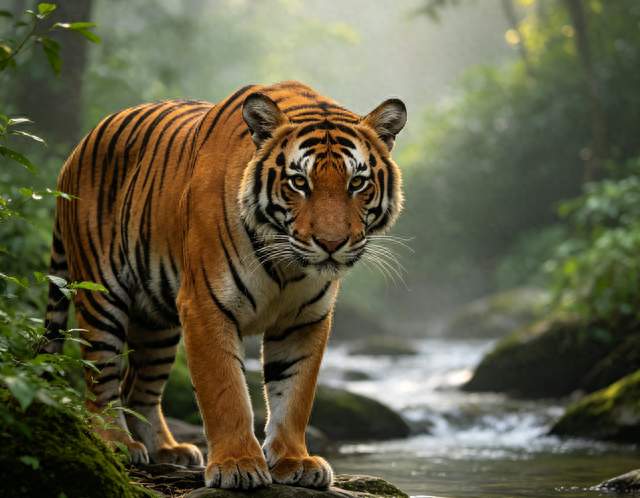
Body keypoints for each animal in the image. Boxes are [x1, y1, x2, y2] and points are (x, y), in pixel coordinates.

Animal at [43, 80, 406, 490]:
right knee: (102, 380)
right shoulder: (205, 305)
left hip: (157, 324)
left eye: (357, 182)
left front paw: (295, 461)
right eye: (299, 182)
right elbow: (226, 392)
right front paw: (238, 465)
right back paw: (117, 442)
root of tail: (77, 148)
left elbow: (294, 394)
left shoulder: (305, 320)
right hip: (101, 298)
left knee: (140, 388)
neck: (286, 265)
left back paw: (168, 449)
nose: (331, 243)